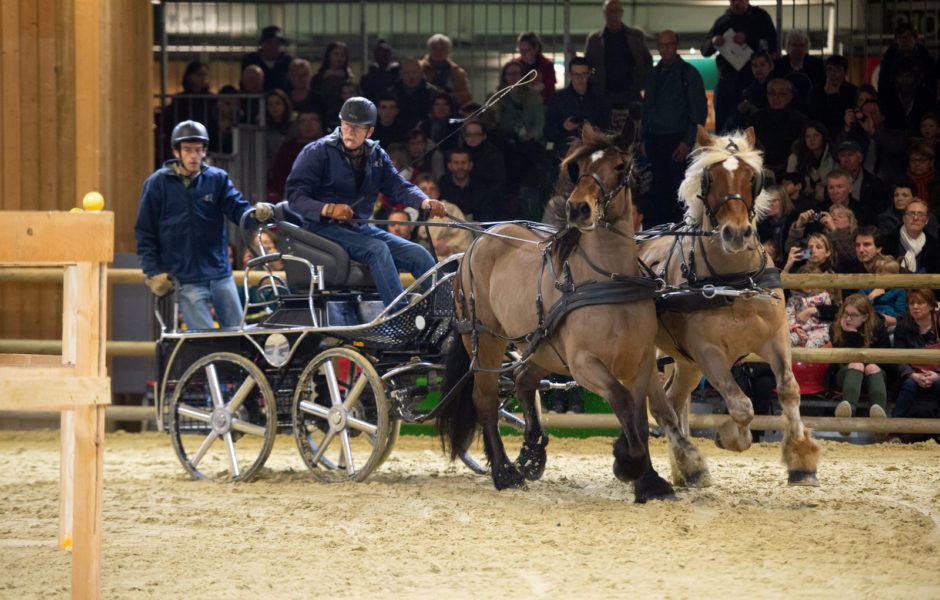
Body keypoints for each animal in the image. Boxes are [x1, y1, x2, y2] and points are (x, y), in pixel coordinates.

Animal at [434, 122, 696, 502]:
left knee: (523, 379)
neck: (609, 281)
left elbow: (640, 415)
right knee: (485, 400)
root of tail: (479, 240)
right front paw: (627, 463)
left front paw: (648, 479)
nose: (578, 209)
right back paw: (504, 472)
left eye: (620, 166)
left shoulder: (643, 361)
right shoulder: (584, 364)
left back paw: (531, 453)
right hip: (484, 338)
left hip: (541, 346)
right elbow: (621, 402)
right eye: (580, 167)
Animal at [640, 126, 824, 488]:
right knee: (661, 404)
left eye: (752, 177)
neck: (736, 280)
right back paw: (690, 464)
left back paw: (688, 470)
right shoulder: (708, 351)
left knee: (673, 398)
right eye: (709, 178)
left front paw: (801, 460)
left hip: (684, 360)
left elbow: (789, 391)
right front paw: (731, 437)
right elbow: (741, 406)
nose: (736, 234)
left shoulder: (776, 338)